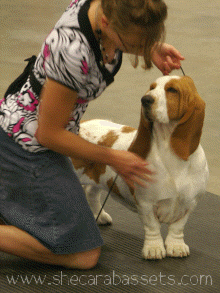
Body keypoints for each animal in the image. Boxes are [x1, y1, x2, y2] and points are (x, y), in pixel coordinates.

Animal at [71, 75, 209, 258]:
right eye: (152, 87)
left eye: (172, 90)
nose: (145, 100)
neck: (168, 149)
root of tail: (80, 125)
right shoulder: (146, 203)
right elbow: (153, 228)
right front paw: (154, 249)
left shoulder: (189, 204)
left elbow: (177, 228)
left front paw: (176, 246)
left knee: (91, 193)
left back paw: (100, 216)